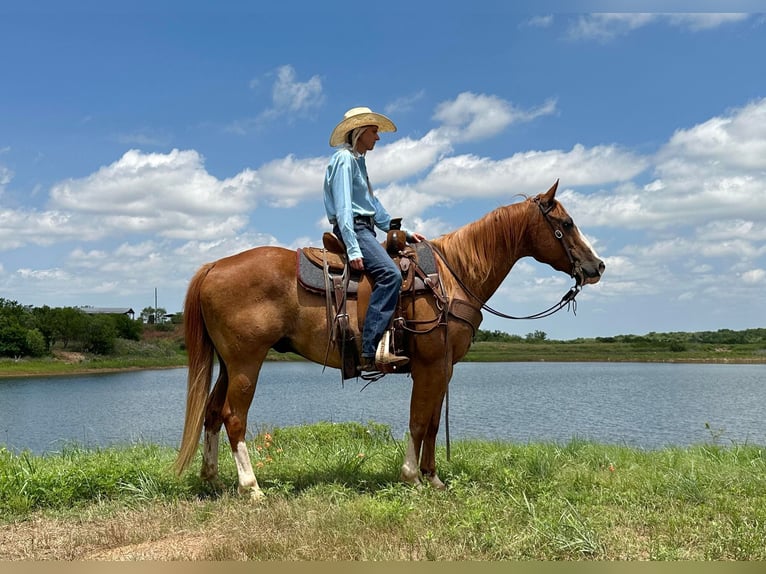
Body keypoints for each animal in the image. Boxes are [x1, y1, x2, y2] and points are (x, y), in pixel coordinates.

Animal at [174, 181, 608, 500]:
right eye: (567, 223)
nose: (597, 266)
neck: (451, 276)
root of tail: (214, 265)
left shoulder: (443, 367)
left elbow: (431, 423)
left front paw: (434, 478)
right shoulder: (431, 365)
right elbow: (417, 421)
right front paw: (412, 476)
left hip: (228, 364)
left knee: (212, 413)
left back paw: (213, 479)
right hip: (247, 362)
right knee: (233, 417)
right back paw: (252, 488)